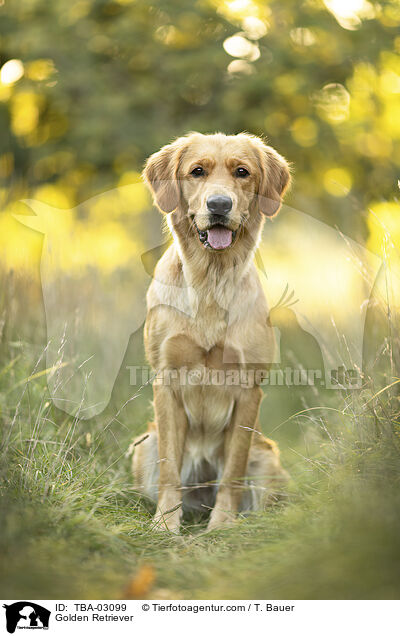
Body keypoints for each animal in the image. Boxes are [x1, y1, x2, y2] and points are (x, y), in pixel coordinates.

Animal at [133, 133, 290, 532]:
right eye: (197, 171)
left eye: (242, 172)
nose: (219, 204)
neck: (210, 281)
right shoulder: (166, 380)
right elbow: (170, 470)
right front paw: (165, 525)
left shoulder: (248, 389)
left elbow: (232, 472)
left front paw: (222, 526)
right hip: (144, 446)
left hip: (268, 459)